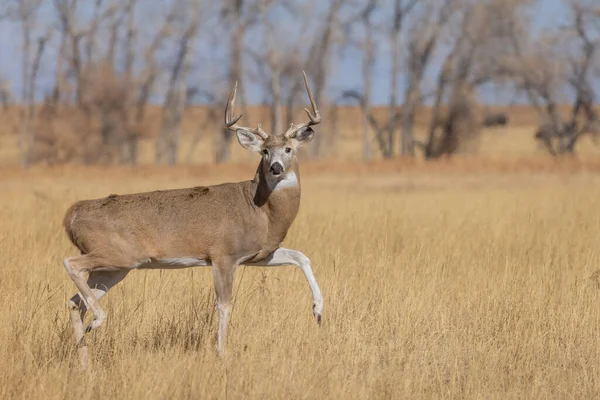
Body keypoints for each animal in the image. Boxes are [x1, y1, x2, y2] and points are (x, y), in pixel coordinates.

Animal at [62, 72, 324, 368]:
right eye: (265, 151)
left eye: (289, 149)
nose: (276, 168)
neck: (261, 211)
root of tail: (72, 215)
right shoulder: (223, 254)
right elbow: (224, 304)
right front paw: (222, 352)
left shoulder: (257, 255)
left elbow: (301, 256)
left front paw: (318, 310)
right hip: (118, 254)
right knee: (71, 265)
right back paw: (97, 322)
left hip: (114, 268)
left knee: (74, 302)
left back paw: (84, 362)